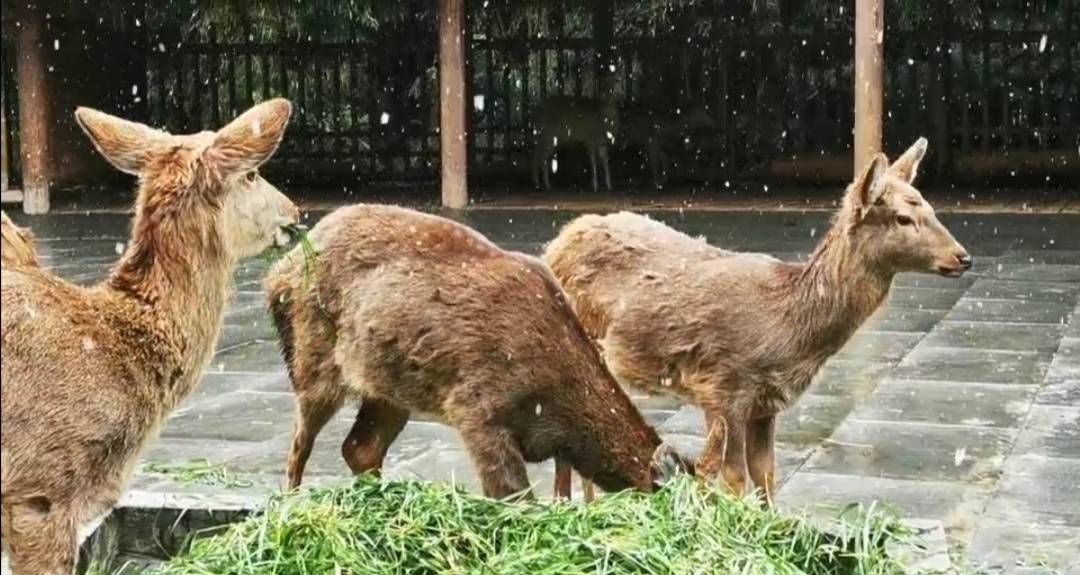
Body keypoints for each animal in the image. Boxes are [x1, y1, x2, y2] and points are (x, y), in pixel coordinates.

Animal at [261, 204, 691, 501]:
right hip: (313, 359)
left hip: (390, 387)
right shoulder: (477, 407)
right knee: (300, 444)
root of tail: (276, 275)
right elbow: (513, 495)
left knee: (360, 448)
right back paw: (292, 506)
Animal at [544, 138, 976, 503]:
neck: (785, 329)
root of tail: (557, 242)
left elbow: (765, 473)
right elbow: (733, 478)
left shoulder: (765, 404)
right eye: (903, 217)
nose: (963, 256)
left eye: (931, 207)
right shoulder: (723, 388)